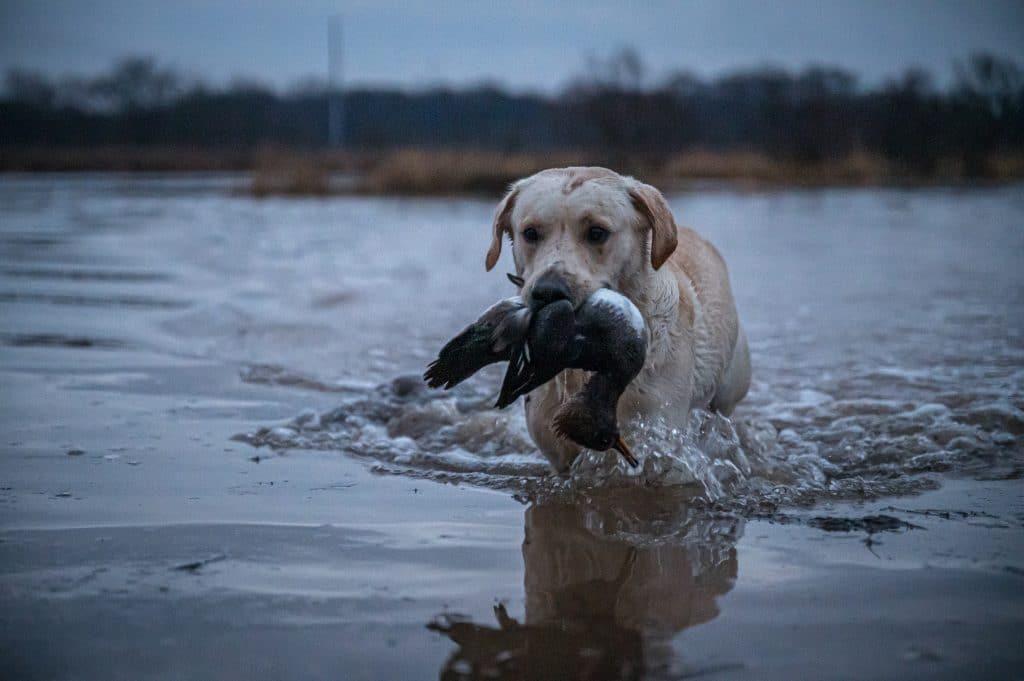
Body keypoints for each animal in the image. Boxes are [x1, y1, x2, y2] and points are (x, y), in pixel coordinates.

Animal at [483, 166, 749, 471]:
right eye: (530, 233)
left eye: (597, 232)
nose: (548, 292)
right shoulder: (558, 452)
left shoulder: (660, 429)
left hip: (727, 394)